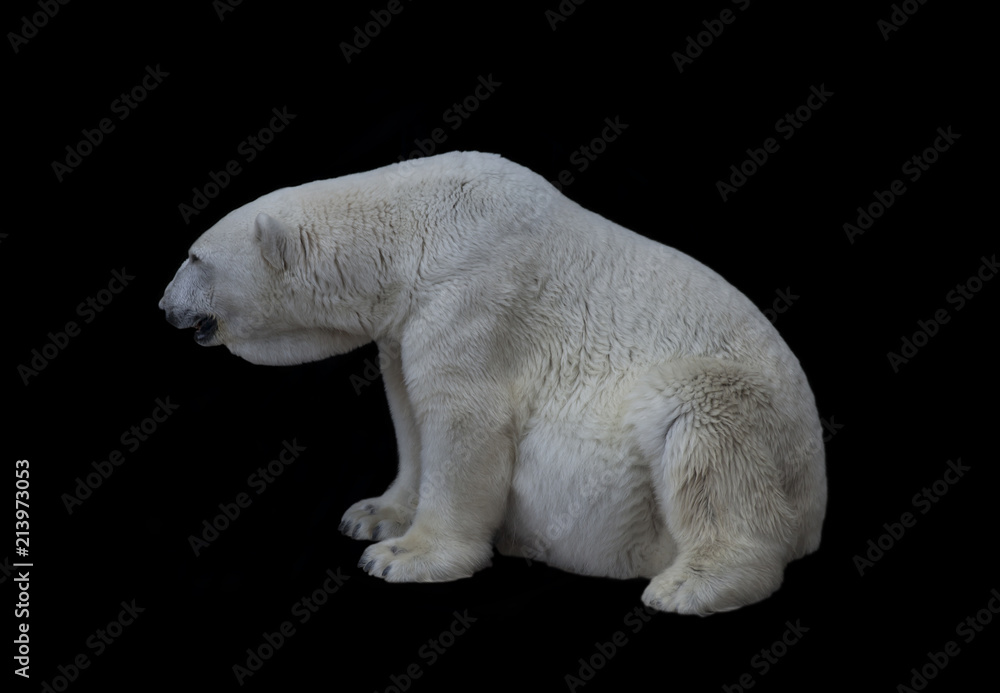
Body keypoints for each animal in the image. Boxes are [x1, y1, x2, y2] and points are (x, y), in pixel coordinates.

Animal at [159, 151, 826, 615]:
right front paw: (374, 515)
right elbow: (409, 414)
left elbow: (463, 422)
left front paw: (404, 556)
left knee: (704, 428)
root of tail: (816, 515)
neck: (409, 231)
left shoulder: (474, 297)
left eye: (194, 257)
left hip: (744, 419)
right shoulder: (405, 323)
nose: (163, 306)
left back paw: (690, 585)